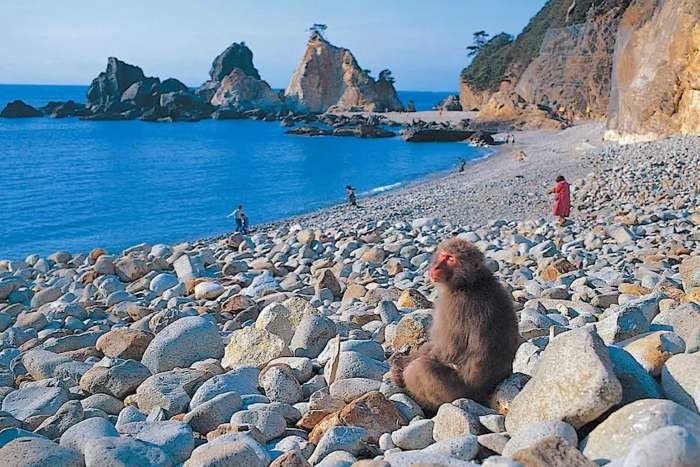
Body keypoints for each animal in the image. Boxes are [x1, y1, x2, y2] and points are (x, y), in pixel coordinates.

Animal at [390, 237, 520, 414]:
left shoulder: (455, 306)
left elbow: (446, 351)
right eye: (443, 255)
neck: (470, 282)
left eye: (451, 259)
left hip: (460, 393)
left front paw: (400, 368)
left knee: (421, 369)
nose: (435, 267)